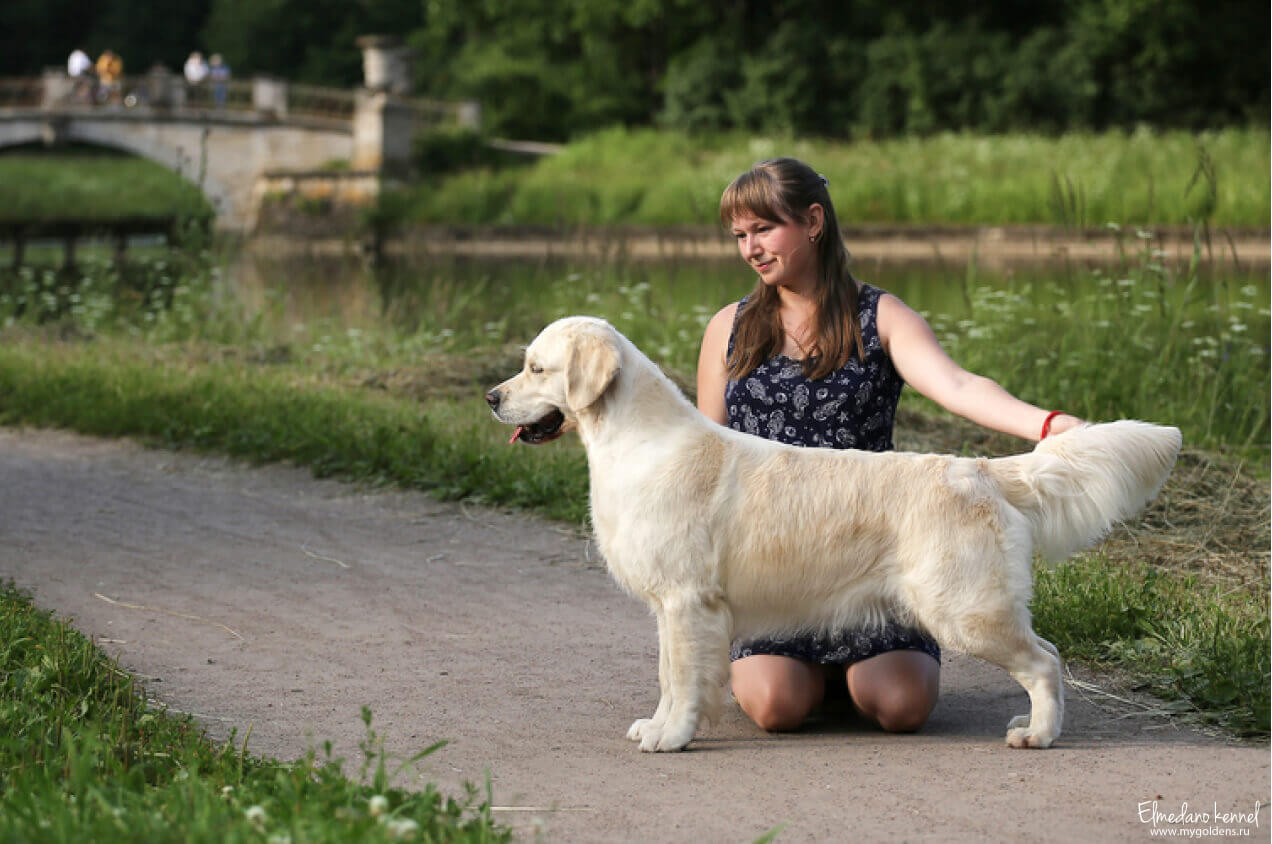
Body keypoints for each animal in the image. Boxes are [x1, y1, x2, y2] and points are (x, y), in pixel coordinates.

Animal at [483, 316, 1180, 752]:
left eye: (537, 368)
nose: (490, 397)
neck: (635, 440)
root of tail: (979, 468)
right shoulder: (672, 606)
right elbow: (667, 676)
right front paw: (656, 725)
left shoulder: (687, 601)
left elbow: (682, 680)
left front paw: (673, 736)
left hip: (965, 610)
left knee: (1046, 661)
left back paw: (1038, 733)